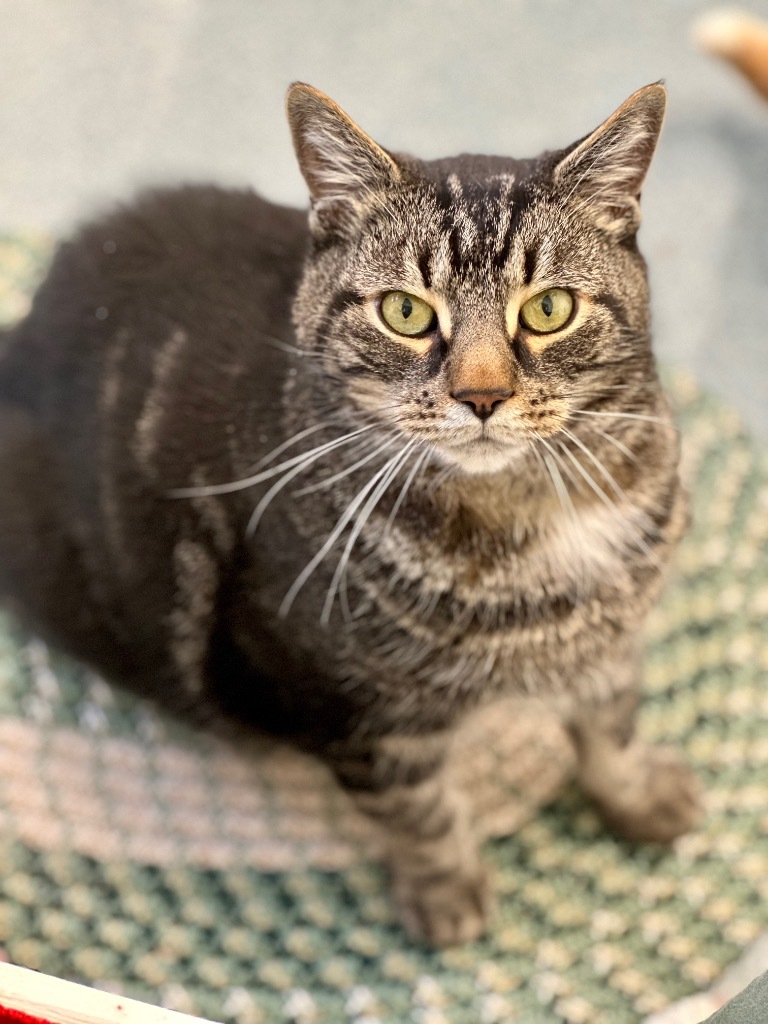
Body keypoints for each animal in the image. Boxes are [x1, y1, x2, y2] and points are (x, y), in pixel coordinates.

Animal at [0, 79, 704, 942]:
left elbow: (613, 727)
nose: (481, 397)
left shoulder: (612, 649)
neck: (523, 515)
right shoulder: (350, 711)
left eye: (549, 311)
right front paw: (446, 893)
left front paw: (639, 796)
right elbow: (420, 811)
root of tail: (27, 324)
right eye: (405, 312)